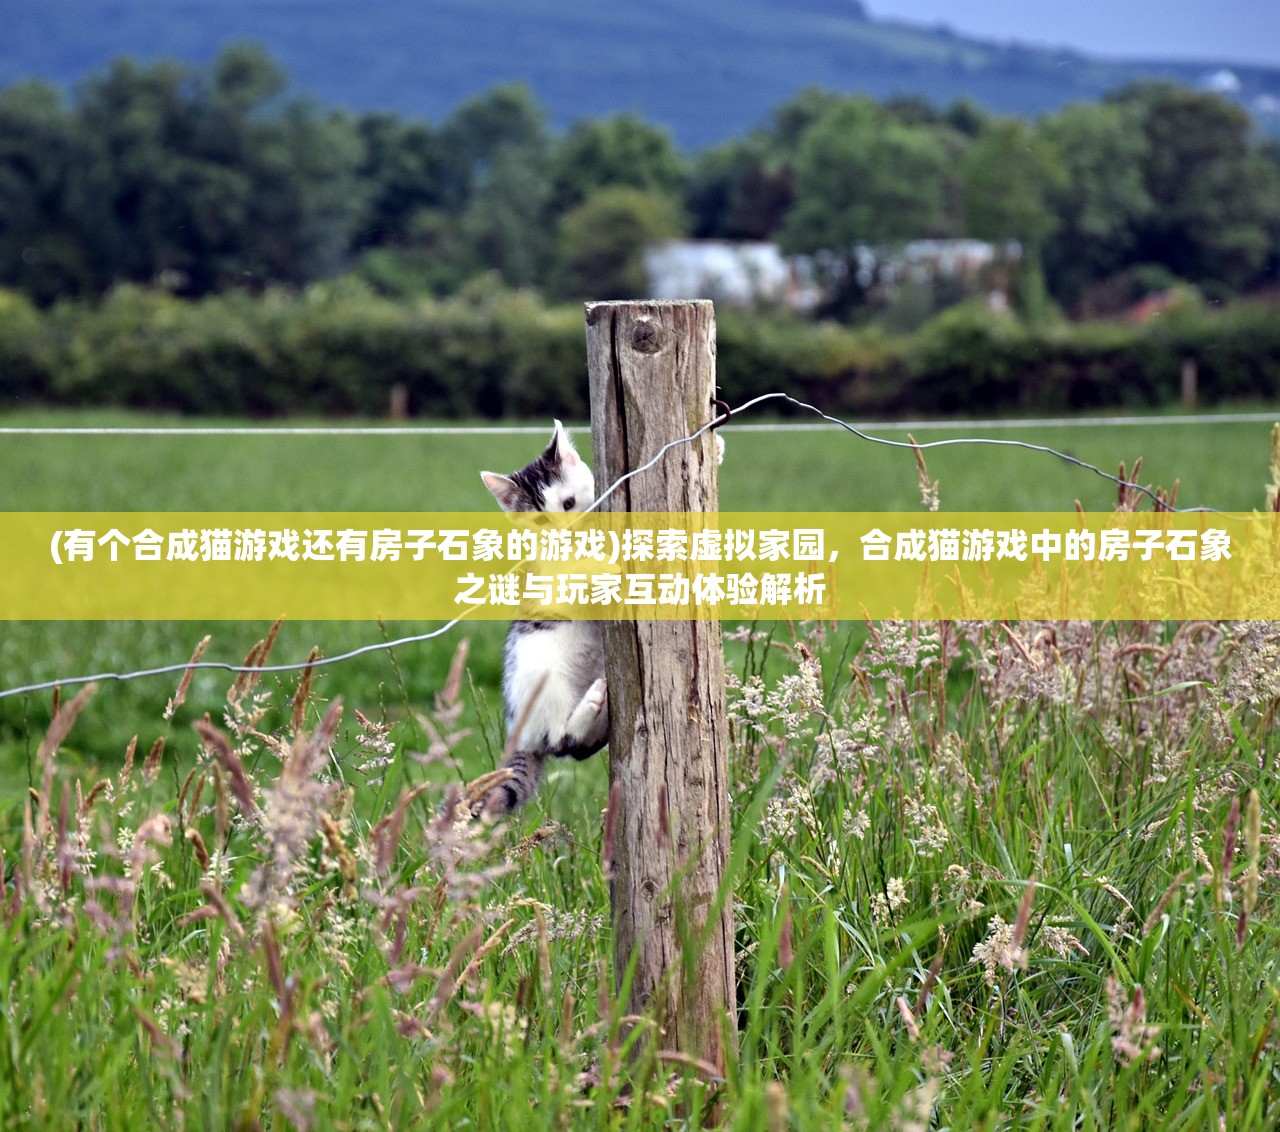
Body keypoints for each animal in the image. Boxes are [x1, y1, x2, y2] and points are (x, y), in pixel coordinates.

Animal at [476, 420, 609, 819]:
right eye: (540, 518)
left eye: (568, 503)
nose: (567, 530)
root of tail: (518, 731)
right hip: (543, 679)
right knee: (561, 741)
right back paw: (590, 705)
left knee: (578, 749)